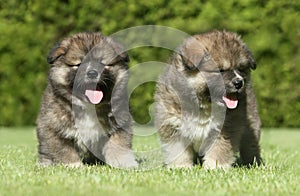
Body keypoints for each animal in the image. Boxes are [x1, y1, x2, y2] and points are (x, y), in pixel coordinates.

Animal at [36, 32, 138, 168]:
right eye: (78, 64)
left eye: (102, 63)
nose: (92, 73)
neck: (89, 107)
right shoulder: (54, 128)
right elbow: (64, 150)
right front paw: (74, 165)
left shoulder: (120, 124)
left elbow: (119, 145)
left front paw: (123, 163)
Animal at [156, 30, 262, 168]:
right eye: (220, 70)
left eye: (241, 68)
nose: (239, 82)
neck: (203, 104)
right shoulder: (173, 126)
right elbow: (178, 151)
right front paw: (181, 166)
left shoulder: (224, 129)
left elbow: (219, 149)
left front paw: (215, 167)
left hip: (251, 127)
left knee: (251, 146)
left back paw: (254, 163)